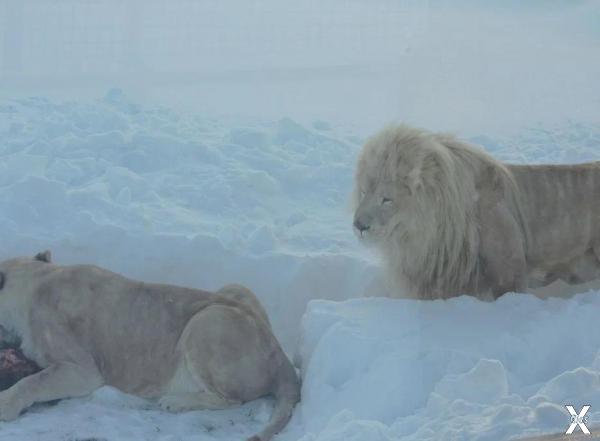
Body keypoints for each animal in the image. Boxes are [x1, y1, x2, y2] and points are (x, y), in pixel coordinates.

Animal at [0, 251, 298, 440]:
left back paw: (175, 402)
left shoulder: (82, 369)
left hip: (206, 322)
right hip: (235, 288)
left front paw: (5, 404)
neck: (35, 281)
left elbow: (34, 381)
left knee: (231, 399)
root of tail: (281, 355)